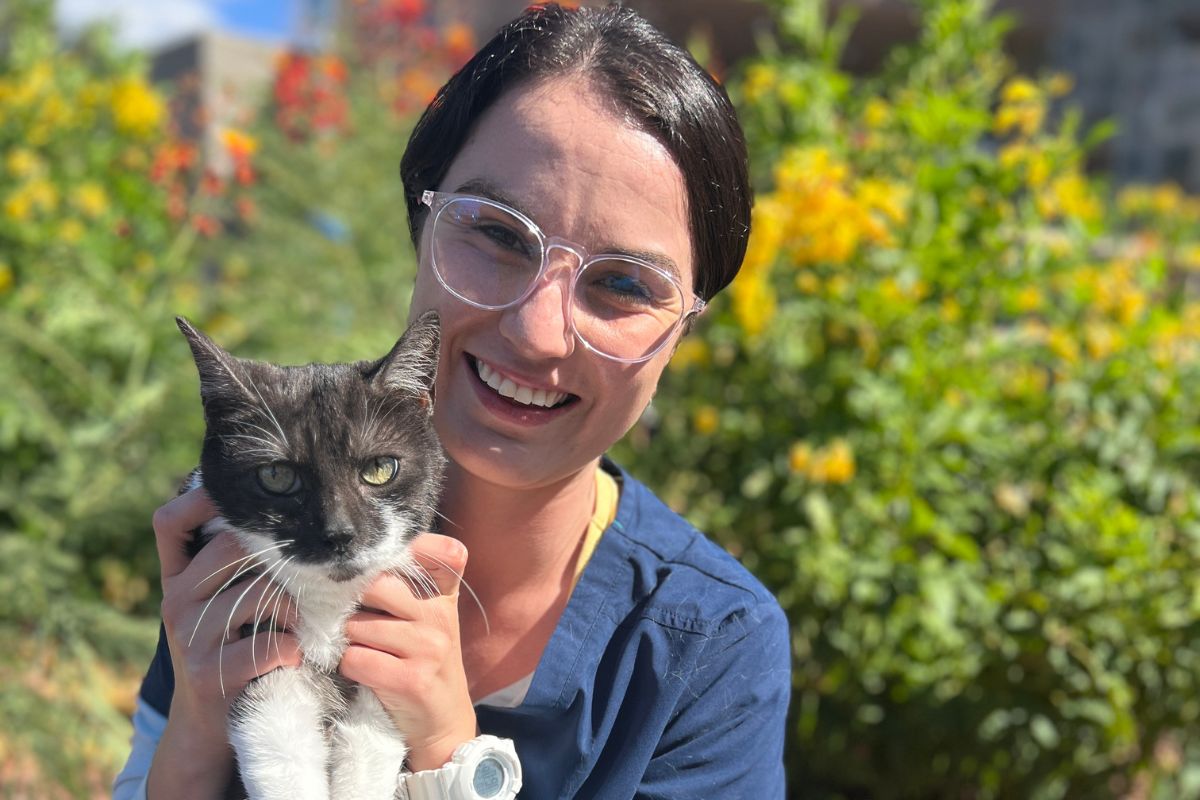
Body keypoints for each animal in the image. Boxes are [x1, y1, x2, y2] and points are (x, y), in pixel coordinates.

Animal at [174, 311, 446, 800]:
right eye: (276, 476)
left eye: (380, 469)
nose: (338, 533)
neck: (328, 609)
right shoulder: (252, 640)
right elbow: (278, 740)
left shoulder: (387, 655)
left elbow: (371, 743)